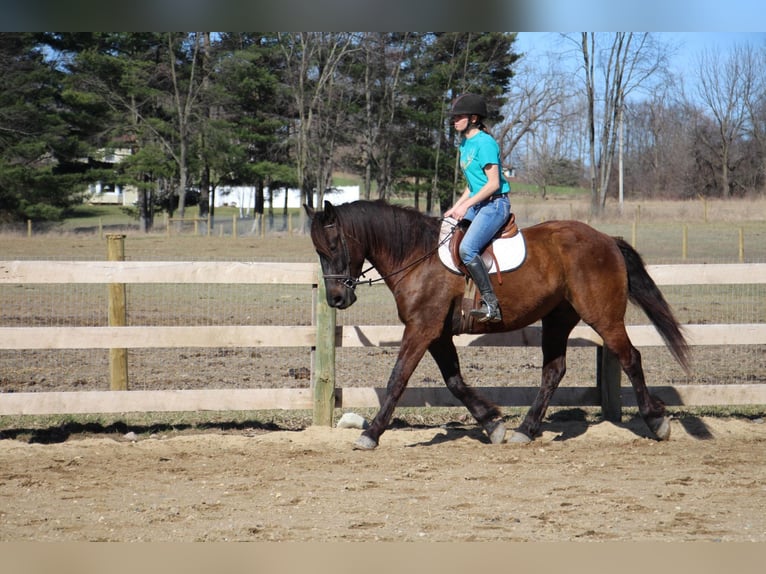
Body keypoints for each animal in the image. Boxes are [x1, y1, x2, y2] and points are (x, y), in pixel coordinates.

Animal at [304, 200, 692, 452]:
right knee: (554, 370)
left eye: (334, 245)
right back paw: (526, 429)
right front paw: (492, 422)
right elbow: (455, 381)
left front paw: (371, 433)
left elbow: (398, 378)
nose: (336, 299)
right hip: (558, 317)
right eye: (317, 251)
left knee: (630, 358)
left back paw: (656, 422)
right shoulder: (437, 333)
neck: (417, 256)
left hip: (604, 316)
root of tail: (607, 239)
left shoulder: (421, 328)